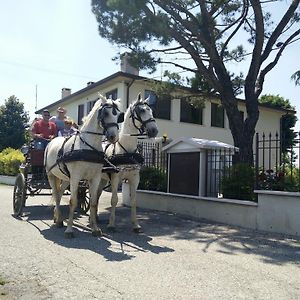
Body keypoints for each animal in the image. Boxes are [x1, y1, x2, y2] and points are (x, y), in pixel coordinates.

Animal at [44, 95, 124, 237]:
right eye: (106, 113)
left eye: (118, 115)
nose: (113, 137)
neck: (88, 146)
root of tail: (52, 141)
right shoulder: (76, 177)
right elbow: (73, 201)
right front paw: (69, 230)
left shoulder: (95, 178)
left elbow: (93, 202)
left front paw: (95, 229)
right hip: (51, 175)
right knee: (56, 195)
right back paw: (58, 221)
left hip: (66, 178)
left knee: (59, 194)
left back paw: (58, 218)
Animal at [98, 94, 159, 232]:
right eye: (141, 110)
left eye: (151, 110)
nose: (154, 131)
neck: (127, 151)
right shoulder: (115, 179)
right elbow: (114, 199)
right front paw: (111, 224)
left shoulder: (135, 179)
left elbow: (134, 201)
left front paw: (136, 225)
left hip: (102, 179)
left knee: (96, 194)